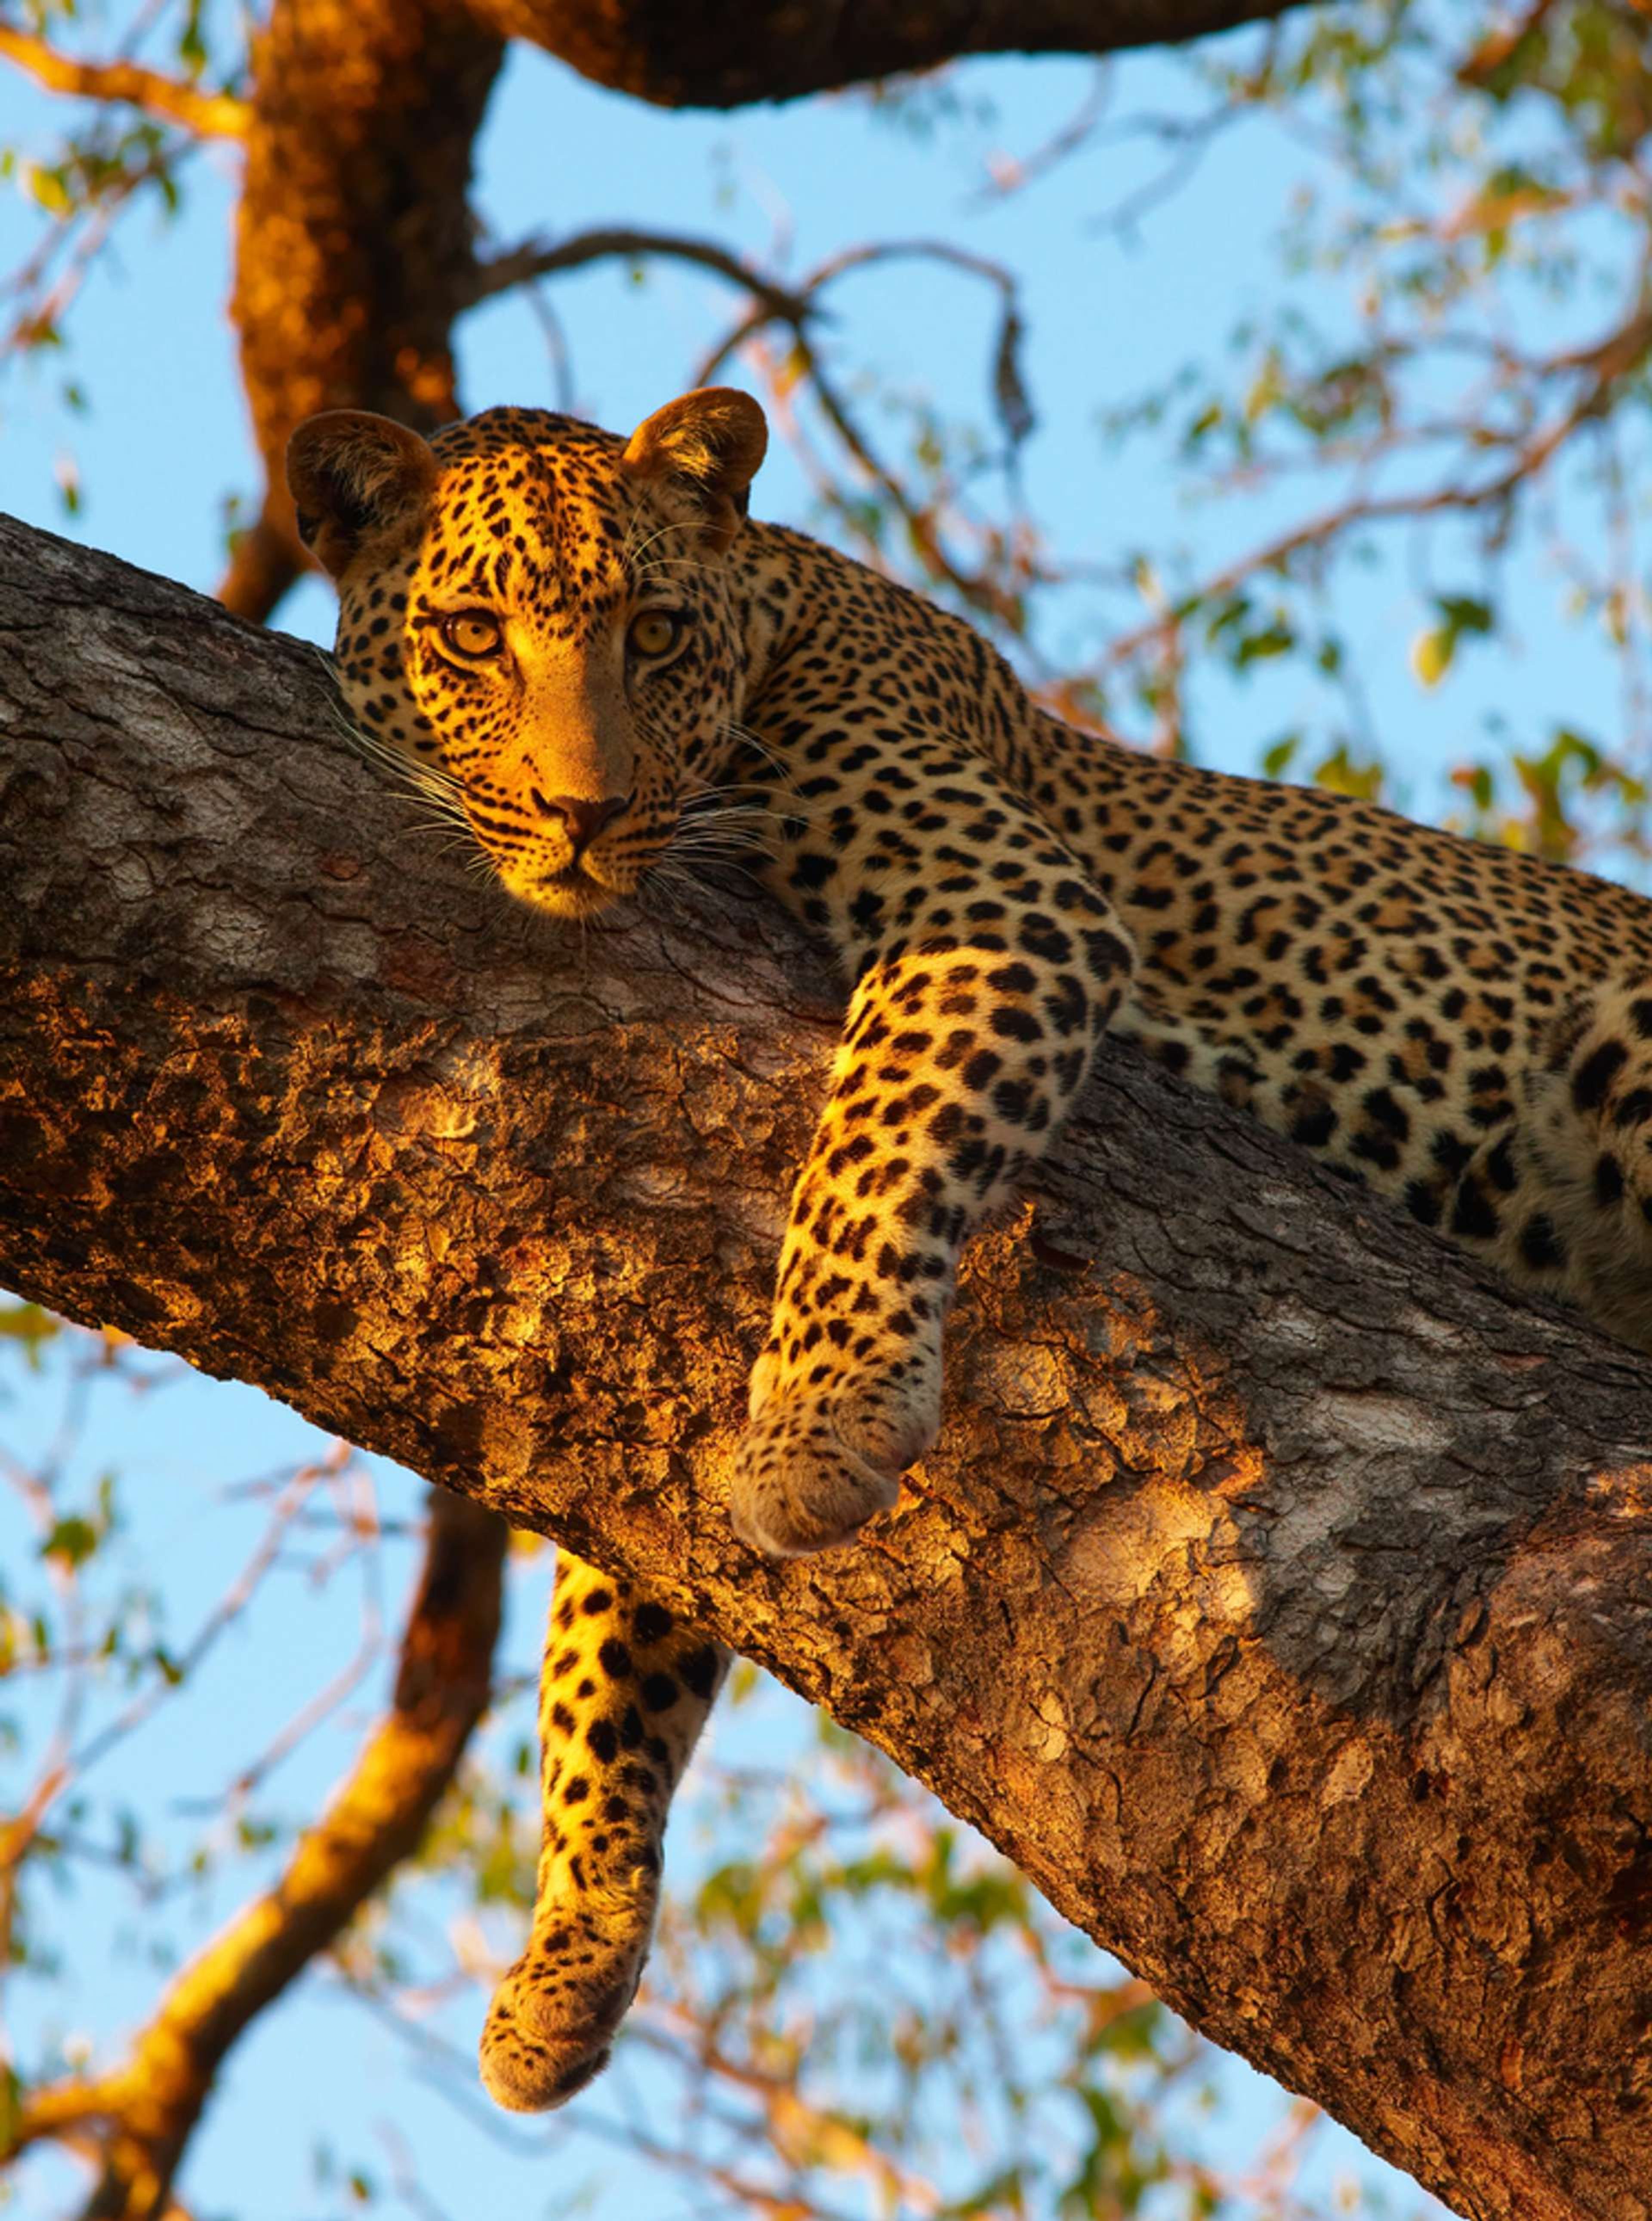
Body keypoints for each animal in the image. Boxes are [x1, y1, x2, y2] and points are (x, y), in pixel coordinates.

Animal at [286, 386, 1652, 2114]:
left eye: (651, 633)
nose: (584, 813)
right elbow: (611, 1628)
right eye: (472, 636)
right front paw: (568, 1952)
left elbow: (870, 1153)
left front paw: (823, 1425)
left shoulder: (998, 903)